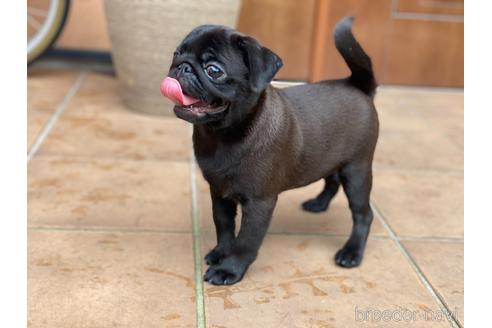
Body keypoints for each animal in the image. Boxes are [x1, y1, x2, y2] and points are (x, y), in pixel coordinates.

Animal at [163, 16, 378, 286]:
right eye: (176, 54)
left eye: (214, 70)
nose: (182, 67)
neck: (222, 135)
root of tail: (358, 85)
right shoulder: (219, 192)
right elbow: (224, 227)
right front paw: (221, 253)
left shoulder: (259, 203)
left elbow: (246, 241)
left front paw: (229, 269)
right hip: (330, 158)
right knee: (332, 180)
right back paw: (318, 204)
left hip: (356, 171)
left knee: (363, 214)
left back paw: (351, 252)